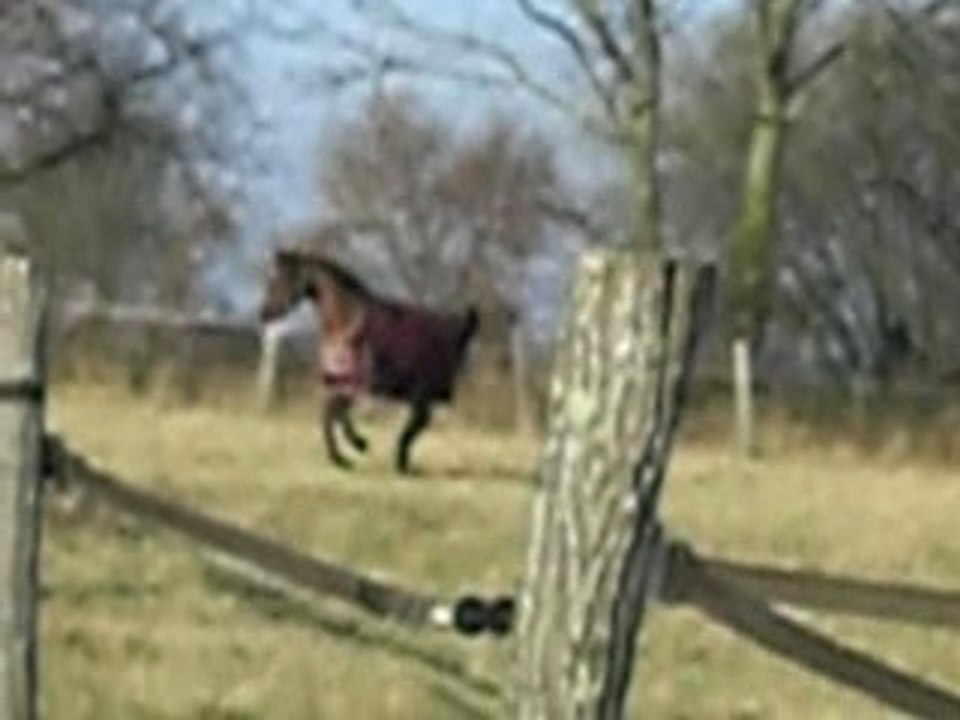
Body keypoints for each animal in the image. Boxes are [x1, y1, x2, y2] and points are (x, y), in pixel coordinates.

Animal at [259, 246, 480, 474]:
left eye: (280, 278)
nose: (264, 313)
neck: (346, 324)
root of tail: (458, 330)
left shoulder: (357, 383)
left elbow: (336, 414)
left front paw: (358, 445)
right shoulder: (337, 383)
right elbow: (329, 416)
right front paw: (344, 457)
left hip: (421, 394)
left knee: (417, 424)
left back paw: (401, 463)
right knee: (417, 424)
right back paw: (402, 463)